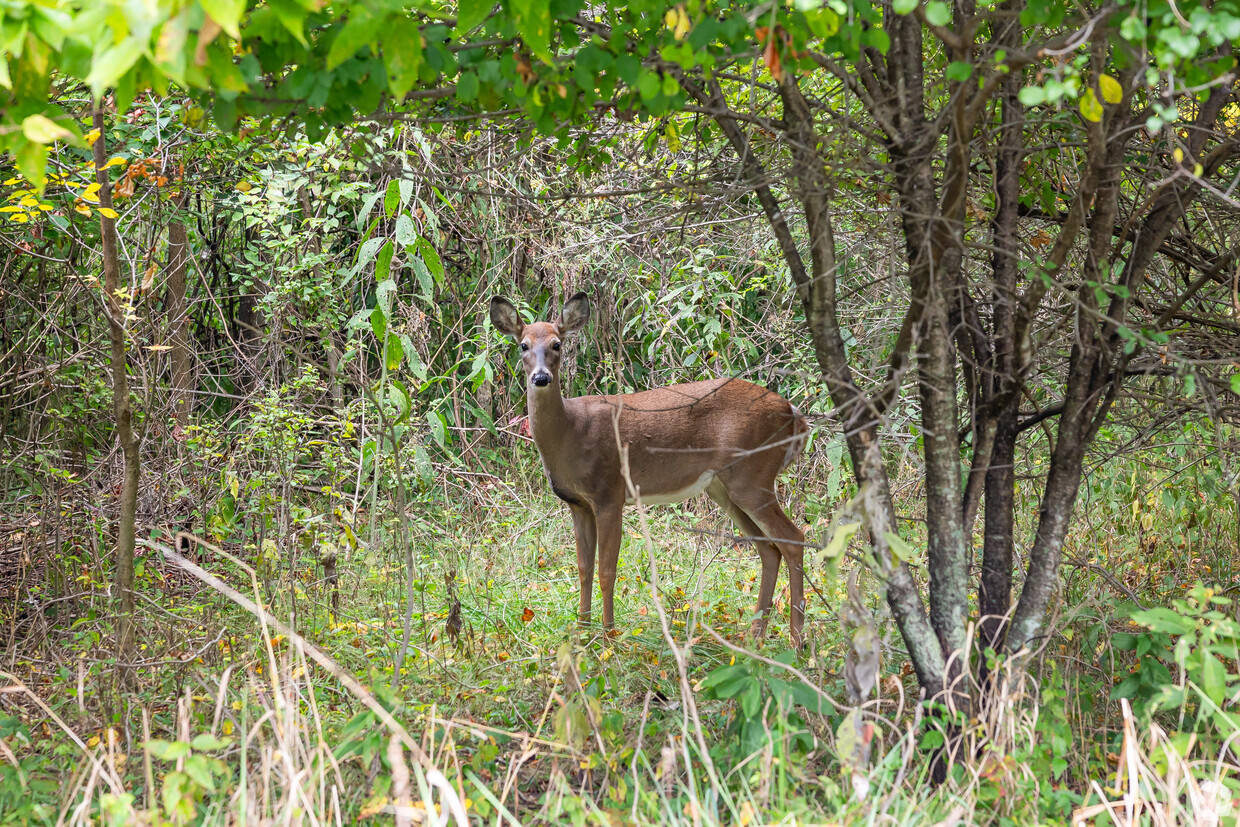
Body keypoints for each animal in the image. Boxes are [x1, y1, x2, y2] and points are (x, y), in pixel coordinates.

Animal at [493, 291, 813, 644]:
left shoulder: (610, 492)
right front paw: (582, 633)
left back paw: (797, 640)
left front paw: (608, 637)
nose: (540, 377)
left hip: (753, 475)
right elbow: (583, 569)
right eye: (523, 345)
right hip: (724, 488)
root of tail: (794, 414)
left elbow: (607, 570)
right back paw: (756, 636)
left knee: (793, 539)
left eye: (557, 344)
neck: (572, 434)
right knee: (769, 548)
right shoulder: (577, 503)